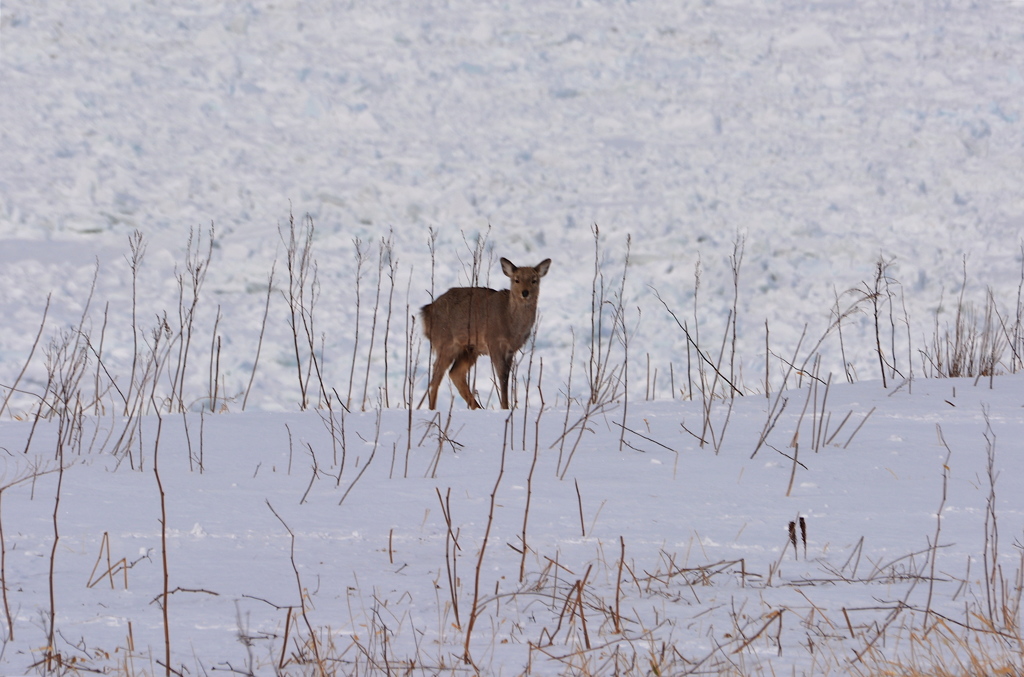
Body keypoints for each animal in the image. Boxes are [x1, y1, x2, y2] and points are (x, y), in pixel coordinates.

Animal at [419, 257, 552, 407]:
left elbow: (506, 375)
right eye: (516, 280)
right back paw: (433, 408)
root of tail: (426, 311)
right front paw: (505, 407)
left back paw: (476, 407)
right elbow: (502, 375)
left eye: (534, 280)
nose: (525, 292)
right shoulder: (493, 341)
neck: (511, 325)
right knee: (436, 376)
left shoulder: (511, 349)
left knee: (455, 373)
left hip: (470, 349)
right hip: (445, 343)